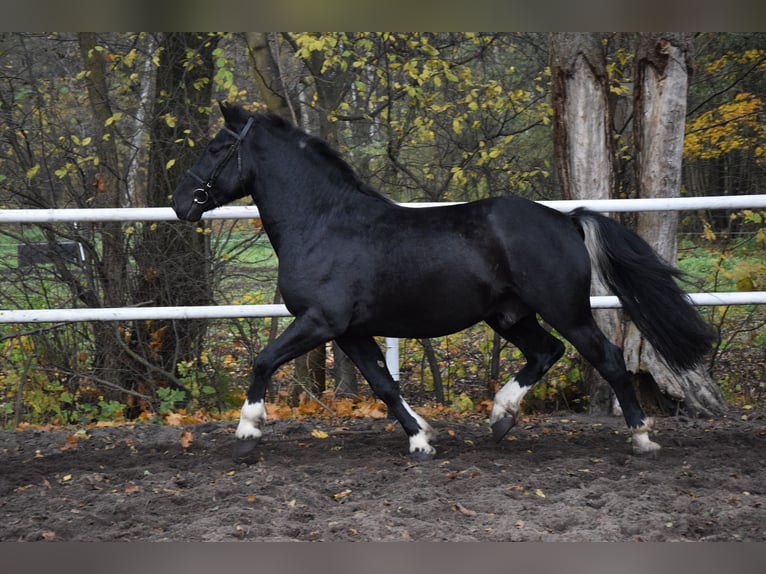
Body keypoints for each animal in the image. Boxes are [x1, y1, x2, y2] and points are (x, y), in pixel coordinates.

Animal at [172, 102, 715, 460]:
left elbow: (264, 361)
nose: (181, 204)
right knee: (546, 352)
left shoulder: (321, 322)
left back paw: (642, 438)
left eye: (216, 147)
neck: (323, 221)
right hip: (509, 315)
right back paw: (501, 418)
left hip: (566, 310)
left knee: (608, 358)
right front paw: (421, 439)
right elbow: (384, 385)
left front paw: (247, 432)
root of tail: (565, 220)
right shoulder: (350, 332)